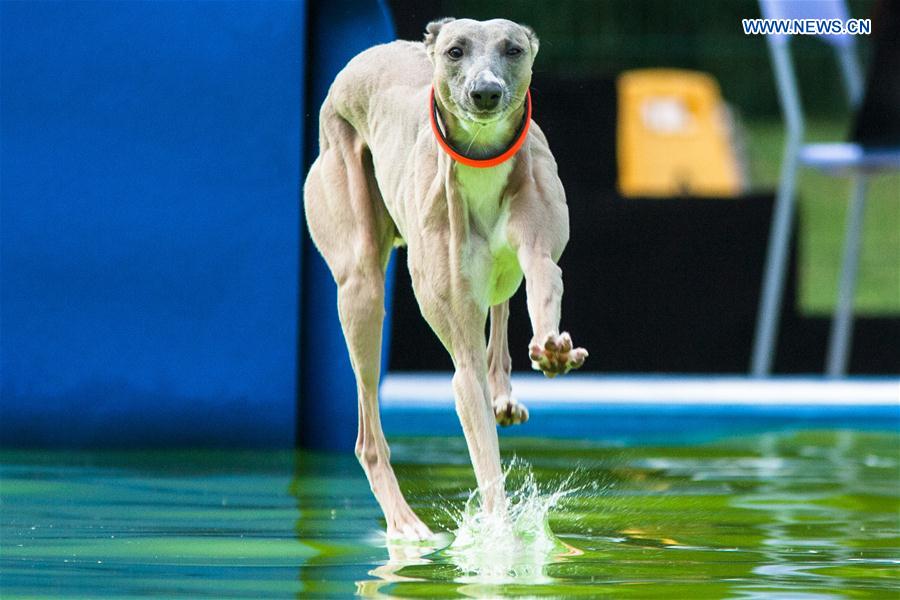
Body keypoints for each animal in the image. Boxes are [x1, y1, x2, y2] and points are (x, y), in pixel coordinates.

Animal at [302, 17, 588, 540]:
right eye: (455, 51)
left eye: (513, 49)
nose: (486, 93)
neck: (483, 158)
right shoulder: (460, 356)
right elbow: (481, 443)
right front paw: (500, 536)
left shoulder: (539, 248)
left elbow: (543, 284)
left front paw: (552, 350)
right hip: (360, 287)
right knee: (367, 432)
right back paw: (405, 524)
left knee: (502, 304)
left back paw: (505, 394)